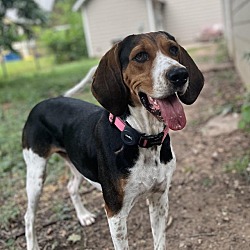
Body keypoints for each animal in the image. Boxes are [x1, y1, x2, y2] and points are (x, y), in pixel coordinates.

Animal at [22, 31, 204, 250]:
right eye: (140, 56)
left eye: (174, 49)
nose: (180, 74)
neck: (142, 138)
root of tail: (49, 100)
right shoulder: (115, 213)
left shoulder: (159, 198)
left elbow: (159, 241)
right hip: (36, 174)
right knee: (28, 217)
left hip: (76, 162)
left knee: (71, 187)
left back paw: (83, 216)